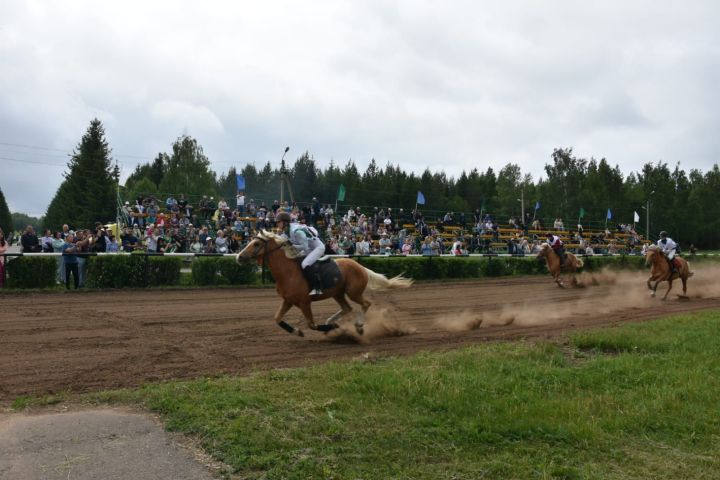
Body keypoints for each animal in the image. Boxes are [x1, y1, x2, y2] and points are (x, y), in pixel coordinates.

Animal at [238, 230, 414, 336]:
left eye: (256, 244)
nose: (239, 257)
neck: (287, 272)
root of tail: (360, 266)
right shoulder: (288, 300)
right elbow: (277, 318)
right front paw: (297, 331)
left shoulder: (304, 302)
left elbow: (312, 325)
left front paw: (330, 328)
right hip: (337, 293)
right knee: (347, 308)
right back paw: (332, 321)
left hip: (353, 292)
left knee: (365, 304)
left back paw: (358, 326)